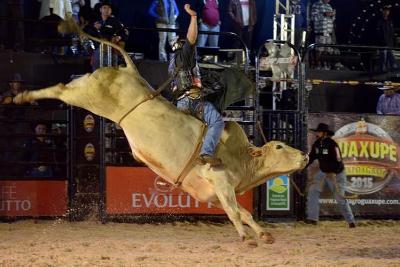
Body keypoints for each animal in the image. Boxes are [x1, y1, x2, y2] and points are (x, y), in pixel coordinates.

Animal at [14, 18, 308, 245]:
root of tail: (131, 71)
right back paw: (20, 96)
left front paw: (264, 235)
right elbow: (237, 213)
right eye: (279, 146)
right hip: (89, 93)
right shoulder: (221, 182)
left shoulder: (214, 195)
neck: (241, 158)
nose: (305, 155)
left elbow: (243, 212)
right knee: (60, 89)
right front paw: (247, 238)